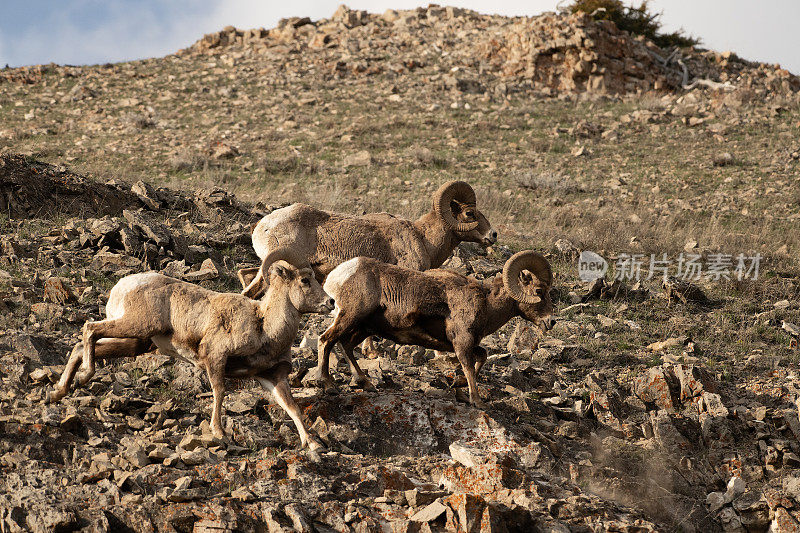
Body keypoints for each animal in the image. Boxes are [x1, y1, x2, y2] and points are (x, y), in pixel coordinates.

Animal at [47, 247, 336, 446]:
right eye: (305, 280)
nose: (331, 302)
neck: (263, 325)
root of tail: (124, 286)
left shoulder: (272, 376)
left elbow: (292, 407)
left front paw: (312, 445)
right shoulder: (215, 357)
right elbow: (219, 391)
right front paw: (219, 432)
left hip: (136, 343)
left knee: (81, 345)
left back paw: (58, 392)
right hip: (136, 326)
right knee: (90, 329)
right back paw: (83, 377)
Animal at [316, 251, 552, 406]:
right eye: (539, 290)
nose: (551, 322)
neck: (486, 303)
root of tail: (336, 277)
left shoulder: (466, 344)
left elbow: (482, 357)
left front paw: (458, 385)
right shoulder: (462, 342)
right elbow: (468, 366)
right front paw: (476, 401)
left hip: (363, 328)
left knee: (345, 345)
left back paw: (366, 383)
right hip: (350, 318)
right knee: (326, 340)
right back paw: (328, 385)